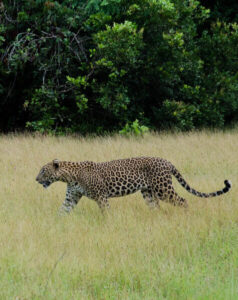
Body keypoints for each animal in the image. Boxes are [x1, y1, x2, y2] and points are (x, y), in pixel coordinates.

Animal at [35, 157, 232, 213]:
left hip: (163, 189)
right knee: (156, 207)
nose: (36, 179)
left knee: (183, 200)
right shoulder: (71, 197)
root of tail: (167, 161)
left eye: (43, 171)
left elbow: (106, 212)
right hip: (148, 192)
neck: (69, 176)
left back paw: (186, 216)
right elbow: (62, 211)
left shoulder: (101, 196)